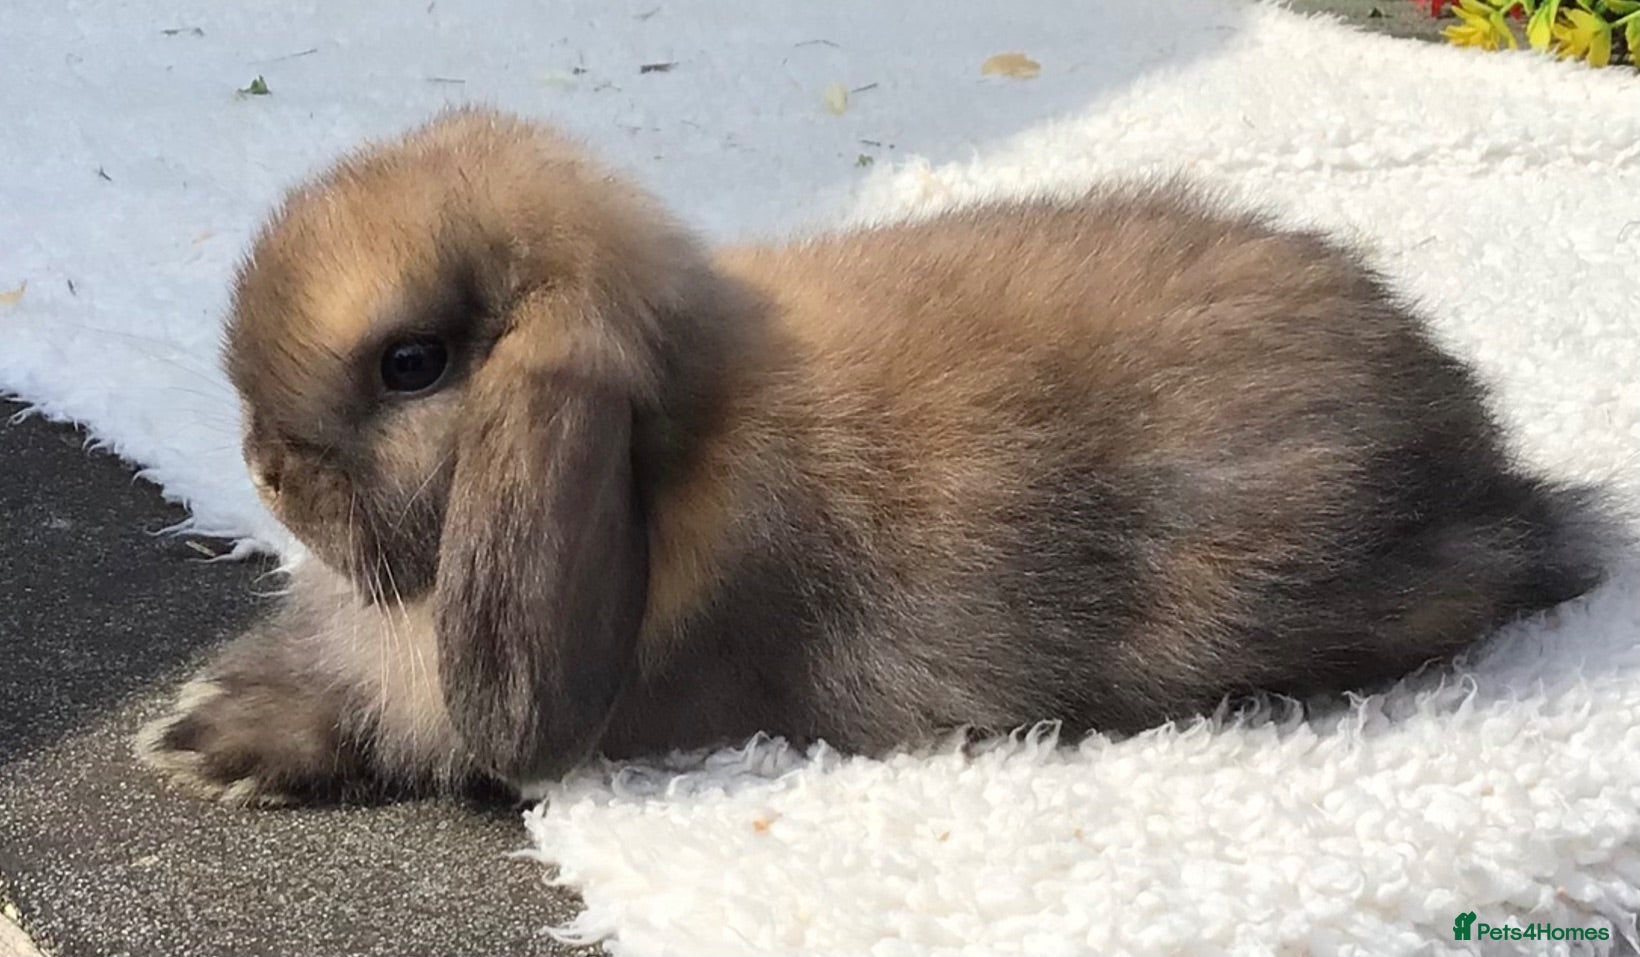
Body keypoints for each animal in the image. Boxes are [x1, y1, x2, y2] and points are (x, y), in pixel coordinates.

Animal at [136, 106, 1614, 806]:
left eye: (412, 364)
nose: (263, 467)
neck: (664, 458)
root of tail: (1492, 478)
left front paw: (216, 744)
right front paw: (201, 710)